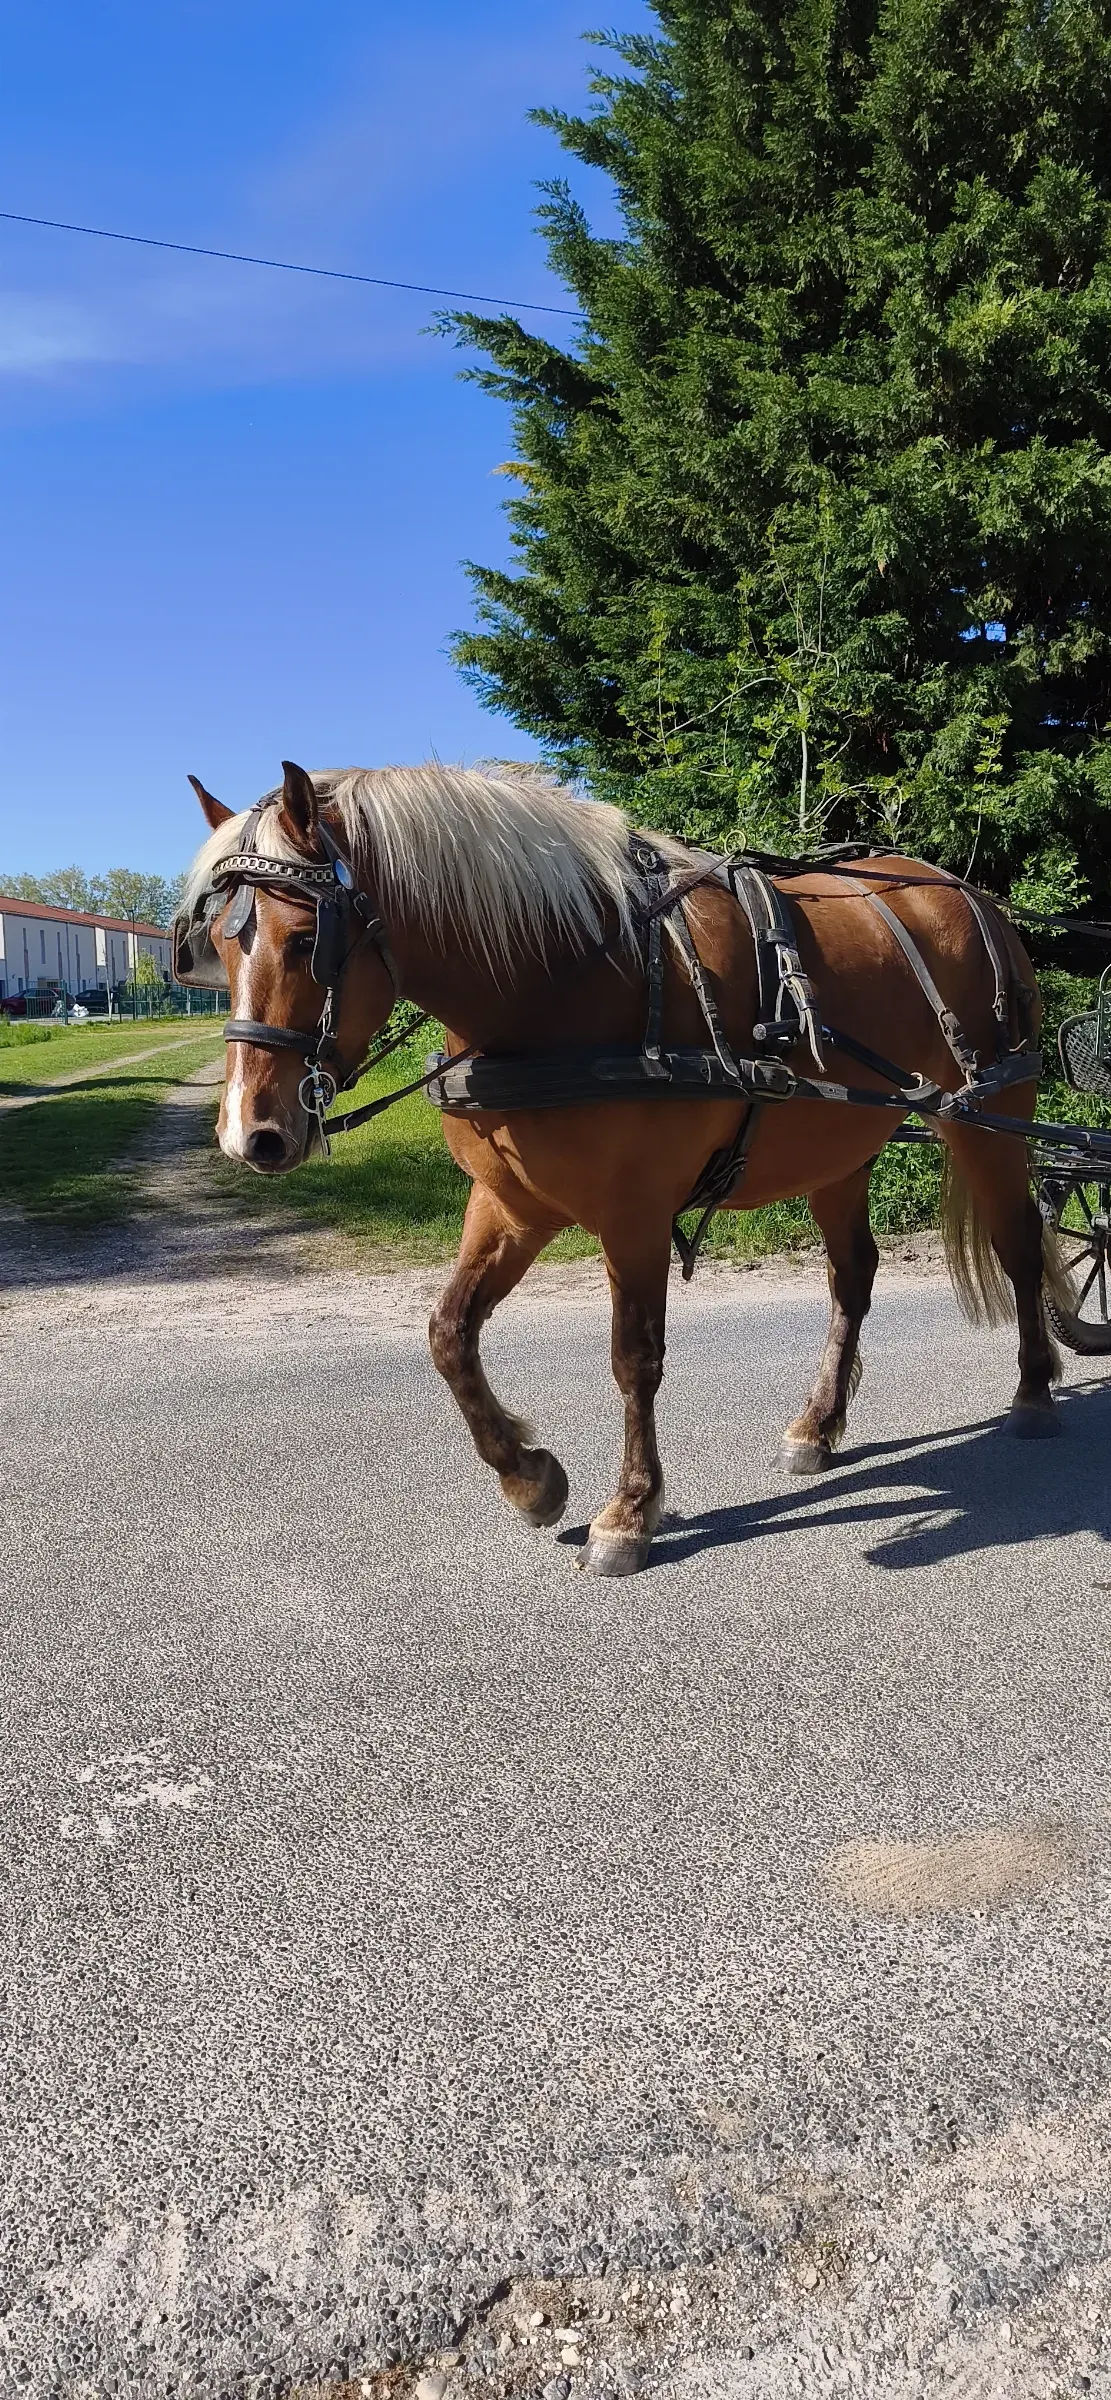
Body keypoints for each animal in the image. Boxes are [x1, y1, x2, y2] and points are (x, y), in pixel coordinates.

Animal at [178, 759, 1072, 1575]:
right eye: (221, 943)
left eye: (305, 941)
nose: (251, 1134)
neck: (559, 983)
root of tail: (966, 896)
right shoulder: (510, 1204)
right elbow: (449, 1334)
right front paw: (529, 1478)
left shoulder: (633, 1213)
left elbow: (632, 1358)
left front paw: (629, 1513)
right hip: (839, 1149)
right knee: (852, 1276)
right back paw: (817, 1426)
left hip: (990, 1113)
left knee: (1019, 1245)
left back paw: (1033, 1392)